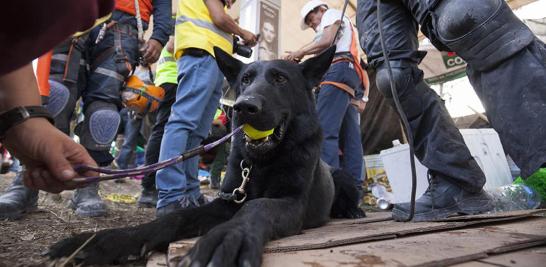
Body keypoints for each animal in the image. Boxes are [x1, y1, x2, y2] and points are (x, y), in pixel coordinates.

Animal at [46, 45, 362, 266]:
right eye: (245, 80)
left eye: (281, 79)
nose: (244, 107)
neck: (262, 162)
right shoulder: (226, 202)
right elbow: (175, 217)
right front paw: (105, 241)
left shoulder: (290, 202)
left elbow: (256, 207)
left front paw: (228, 238)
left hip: (344, 175)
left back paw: (353, 211)